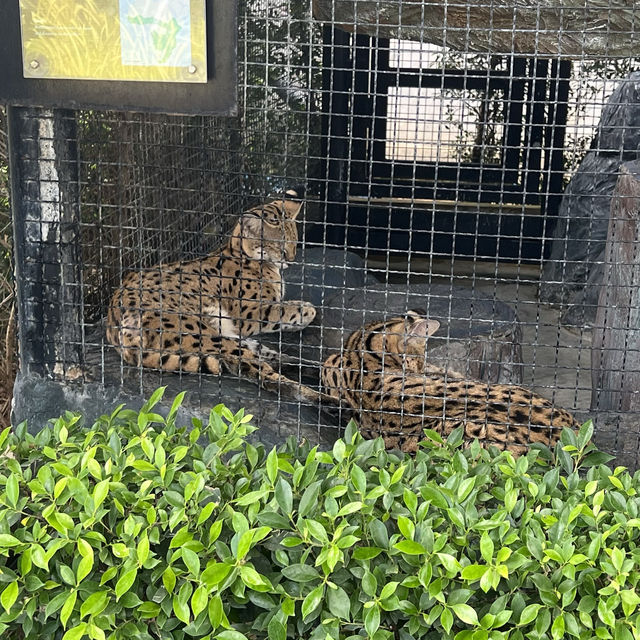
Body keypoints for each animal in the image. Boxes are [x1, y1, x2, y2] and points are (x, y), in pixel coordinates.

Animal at [108, 188, 322, 402]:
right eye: (280, 247)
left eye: (295, 243)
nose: (291, 259)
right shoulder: (250, 314)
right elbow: (294, 310)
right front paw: (304, 310)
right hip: (209, 336)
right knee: (262, 372)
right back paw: (323, 398)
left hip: (226, 337)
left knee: (277, 360)